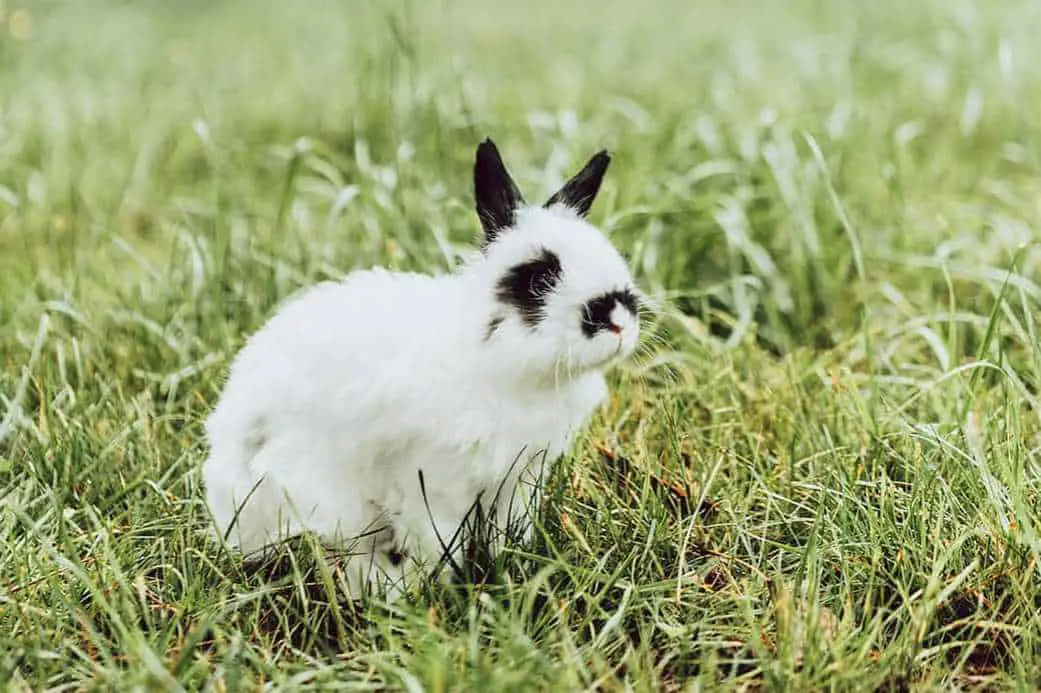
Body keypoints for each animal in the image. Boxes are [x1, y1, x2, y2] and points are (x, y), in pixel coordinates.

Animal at [200, 136, 641, 599]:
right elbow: (440, 540)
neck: (505, 367)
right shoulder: (434, 482)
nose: (618, 318)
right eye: (539, 279)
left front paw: (511, 565)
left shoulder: (517, 482)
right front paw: (441, 587)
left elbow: (508, 532)